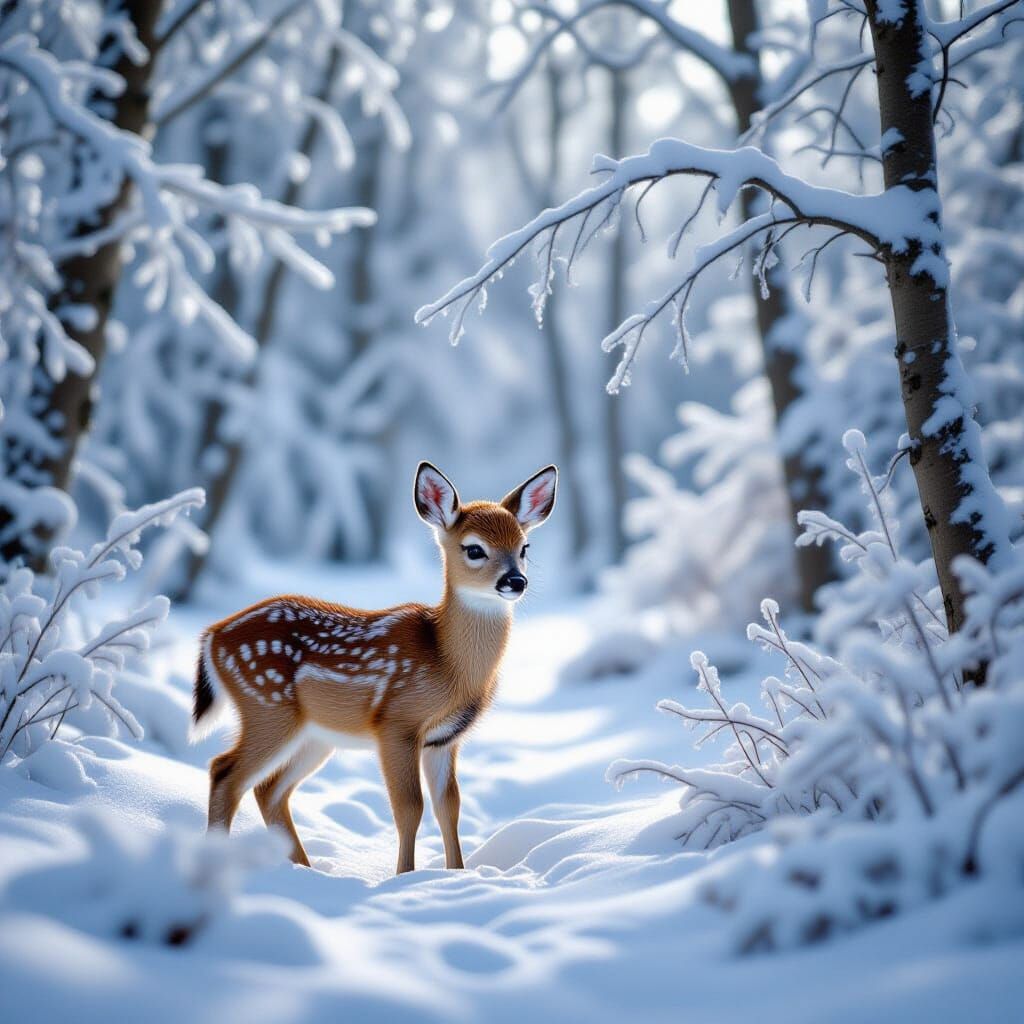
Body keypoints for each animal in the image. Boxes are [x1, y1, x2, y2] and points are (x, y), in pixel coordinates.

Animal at [191, 462, 557, 875]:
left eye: (524, 547)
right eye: (475, 549)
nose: (515, 580)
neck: (448, 663)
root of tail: (212, 635)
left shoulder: (445, 738)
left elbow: (449, 807)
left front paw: (456, 876)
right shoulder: (397, 723)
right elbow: (409, 808)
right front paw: (404, 878)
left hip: (315, 734)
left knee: (267, 789)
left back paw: (307, 871)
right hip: (266, 705)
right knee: (224, 772)